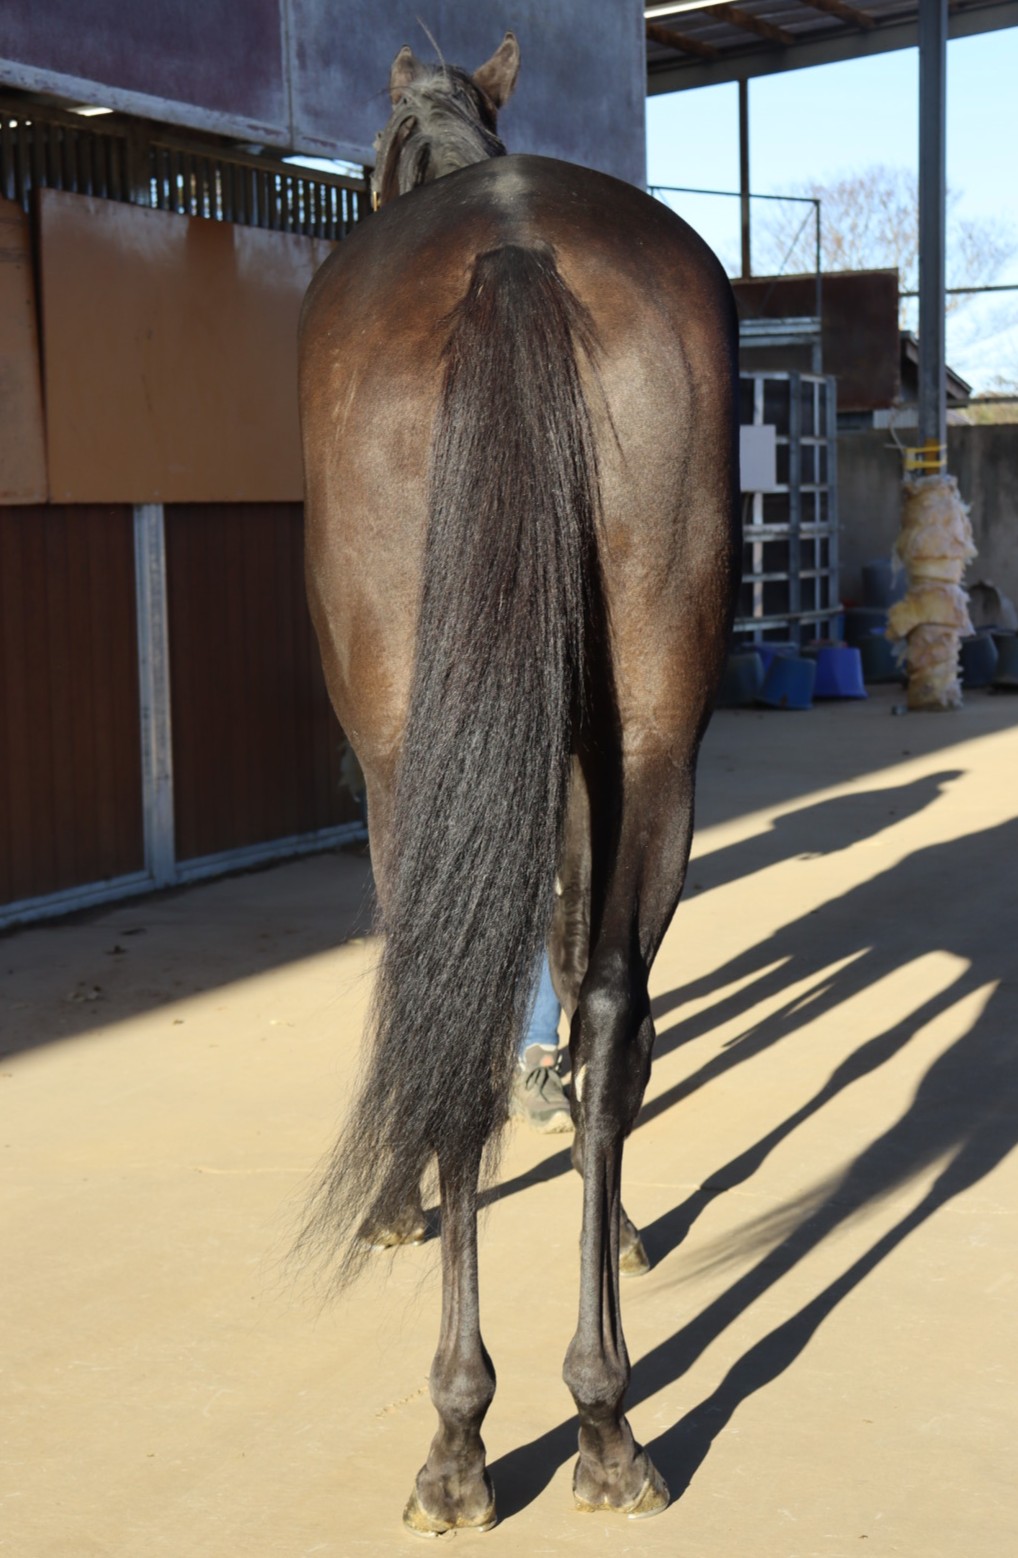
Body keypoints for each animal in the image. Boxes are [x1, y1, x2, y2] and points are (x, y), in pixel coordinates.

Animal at [297, 32, 740, 1534]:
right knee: (609, 1005)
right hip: (657, 736)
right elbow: (583, 982)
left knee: (458, 995)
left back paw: (459, 1438)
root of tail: (511, 246)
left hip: (404, 758)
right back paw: (605, 1419)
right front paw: (621, 1228)